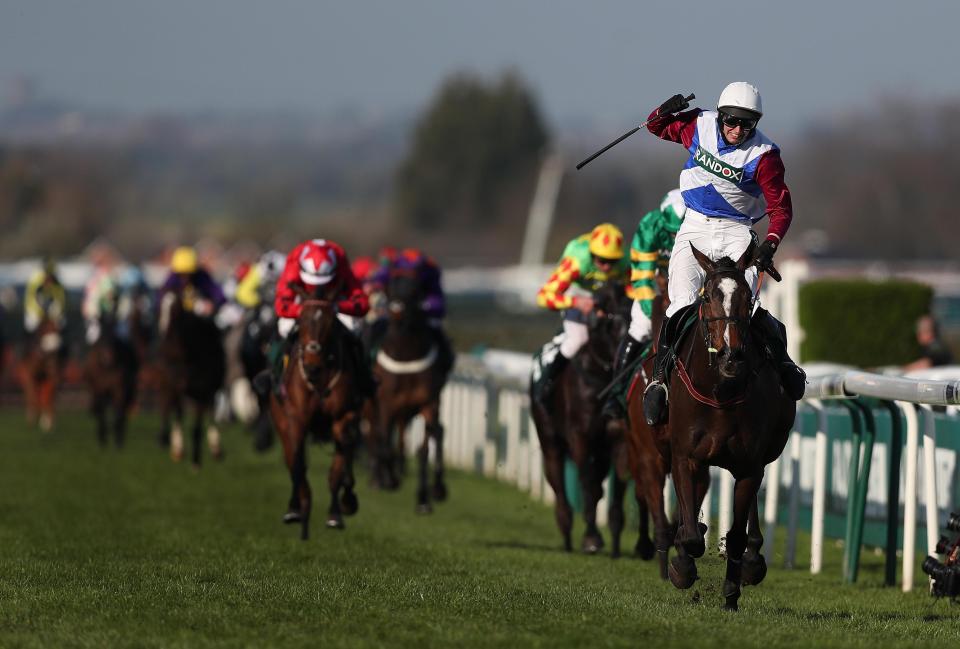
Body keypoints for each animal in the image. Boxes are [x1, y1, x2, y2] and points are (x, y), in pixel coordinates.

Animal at [158, 292, 227, 468]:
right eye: (160, 308)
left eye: (175, 310)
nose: (163, 332)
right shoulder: (175, 386)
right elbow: (178, 415)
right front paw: (178, 449)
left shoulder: (202, 391)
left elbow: (197, 427)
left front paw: (196, 461)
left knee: (211, 410)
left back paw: (215, 448)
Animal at [270, 284, 364, 536]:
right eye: (301, 319)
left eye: (331, 322)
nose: (312, 364)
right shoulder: (295, 419)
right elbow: (297, 464)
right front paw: (299, 509)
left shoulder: (344, 417)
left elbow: (338, 467)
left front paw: (337, 512)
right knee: (291, 458)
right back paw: (294, 507)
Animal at [372, 268, 454, 512]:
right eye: (389, 290)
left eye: (415, 292)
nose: (397, 311)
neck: (406, 356)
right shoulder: (386, 403)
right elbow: (384, 440)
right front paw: (389, 479)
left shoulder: (429, 403)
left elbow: (424, 450)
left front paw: (423, 499)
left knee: (438, 432)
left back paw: (437, 487)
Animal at [524, 280, 636, 556]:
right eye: (613, 322)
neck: (603, 381)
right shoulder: (580, 438)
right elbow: (588, 486)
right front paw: (592, 538)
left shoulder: (618, 439)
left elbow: (617, 486)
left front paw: (615, 542)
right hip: (550, 442)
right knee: (559, 485)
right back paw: (566, 533)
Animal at [628, 242, 792, 608]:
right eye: (707, 298)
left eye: (747, 299)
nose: (731, 355)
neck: (720, 390)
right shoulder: (683, 457)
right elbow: (689, 534)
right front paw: (681, 567)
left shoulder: (749, 464)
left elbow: (736, 534)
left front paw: (732, 590)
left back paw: (752, 560)